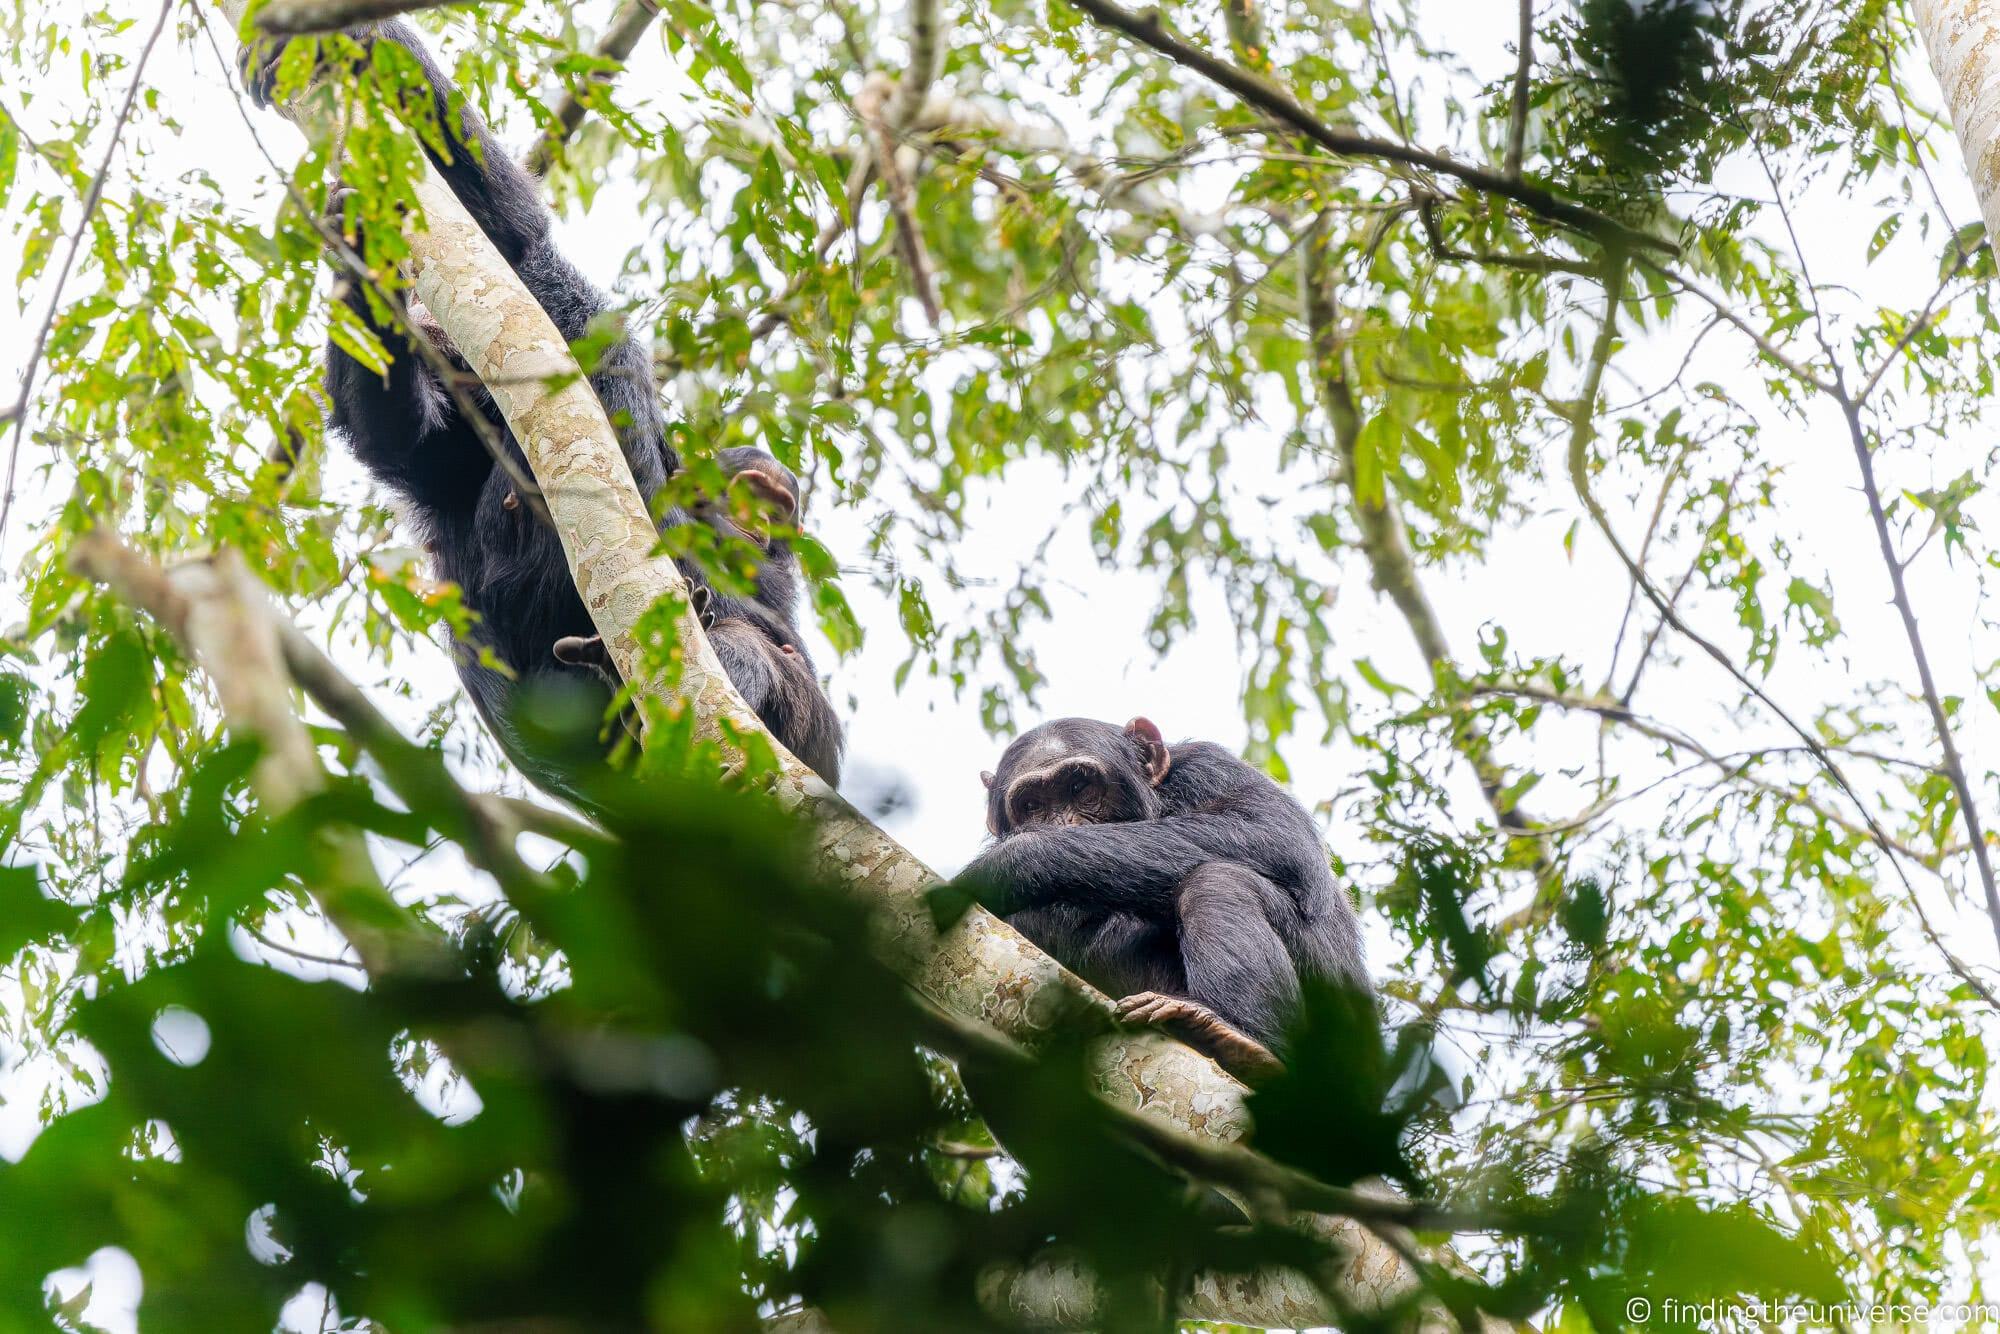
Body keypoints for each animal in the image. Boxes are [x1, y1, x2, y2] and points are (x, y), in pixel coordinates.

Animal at [956, 720, 1368, 1088]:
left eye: (1079, 786)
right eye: (1032, 805)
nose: (1062, 825)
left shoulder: (1212, 766)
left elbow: (1270, 833)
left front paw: (1011, 860)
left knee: (1218, 882)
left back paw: (1239, 1039)